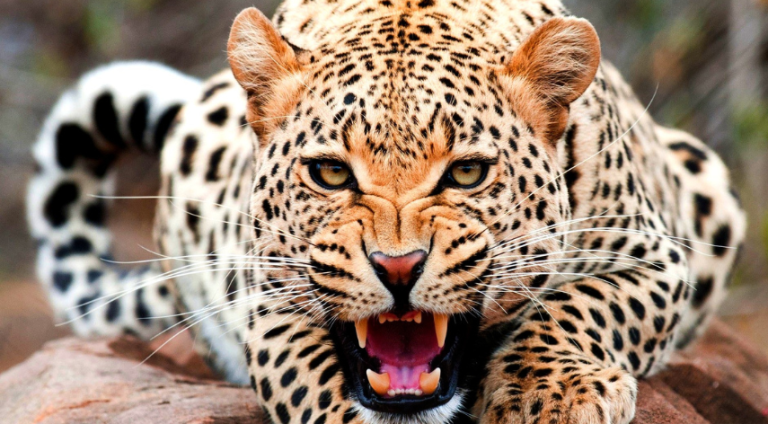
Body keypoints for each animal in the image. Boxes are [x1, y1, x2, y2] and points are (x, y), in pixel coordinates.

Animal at [27, 0, 746, 423]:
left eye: (467, 173)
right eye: (329, 173)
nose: (398, 268)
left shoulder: (655, 257)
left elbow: (583, 305)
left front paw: (552, 394)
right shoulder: (268, 302)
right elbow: (315, 385)